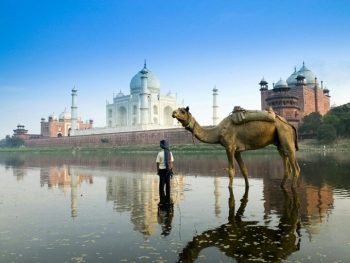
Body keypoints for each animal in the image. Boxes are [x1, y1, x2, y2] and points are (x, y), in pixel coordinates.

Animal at [172, 107, 300, 190]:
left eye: (183, 111)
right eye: (177, 109)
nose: (173, 113)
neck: (218, 132)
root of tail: (289, 124)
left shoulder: (229, 147)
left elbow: (231, 171)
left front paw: (229, 187)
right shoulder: (237, 151)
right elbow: (244, 170)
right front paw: (247, 186)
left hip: (286, 135)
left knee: (295, 166)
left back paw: (293, 187)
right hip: (279, 143)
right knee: (286, 164)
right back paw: (282, 185)